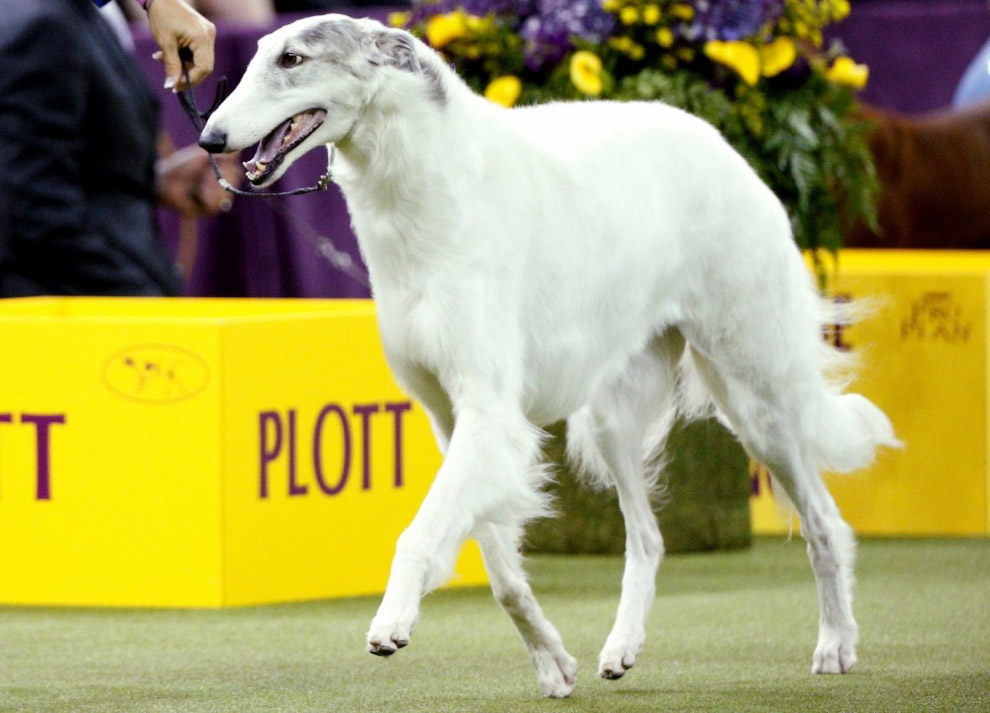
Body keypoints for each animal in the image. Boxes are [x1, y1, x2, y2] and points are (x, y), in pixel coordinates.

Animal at [200, 15, 900, 696]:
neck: (432, 194)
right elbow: (503, 574)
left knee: (824, 523)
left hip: (755, 396)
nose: (209, 139)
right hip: (613, 416)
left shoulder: (489, 414)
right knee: (649, 538)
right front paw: (552, 663)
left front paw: (392, 620)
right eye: (257, 56)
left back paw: (837, 644)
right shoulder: (451, 420)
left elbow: (419, 535)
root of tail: (717, 140)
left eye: (293, 59)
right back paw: (620, 649)